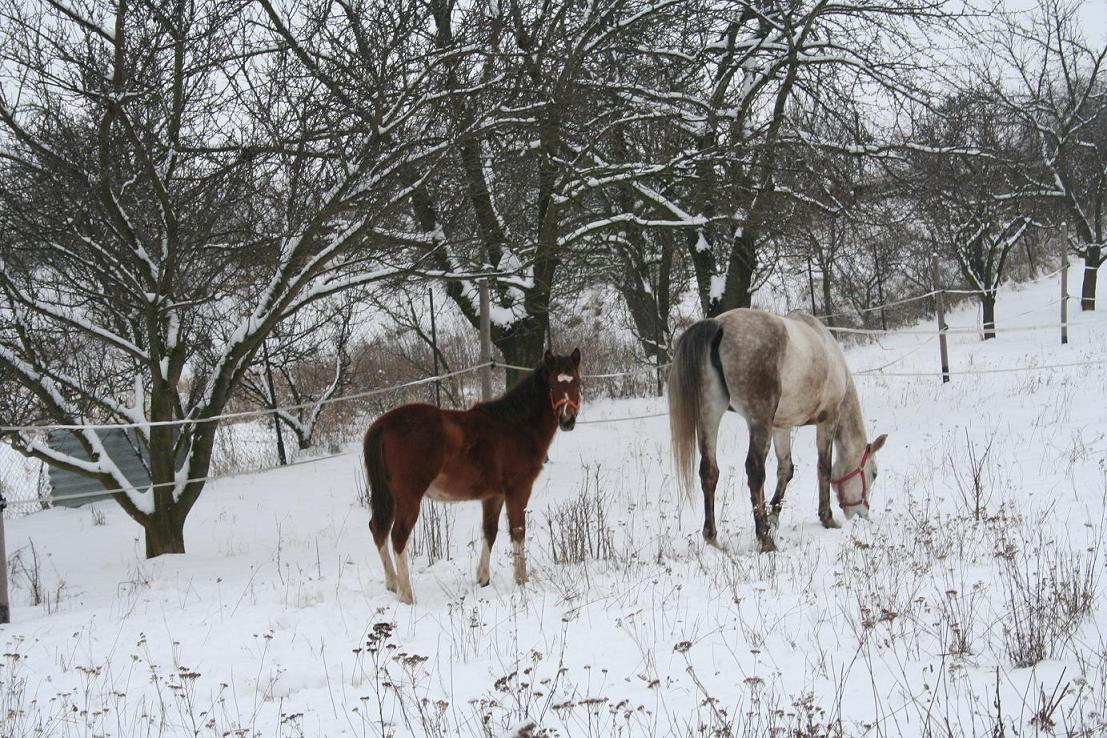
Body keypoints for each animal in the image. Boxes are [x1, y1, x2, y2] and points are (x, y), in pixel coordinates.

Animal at [365, 349, 588, 601]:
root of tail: (383, 424)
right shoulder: (518, 489)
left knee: (379, 529)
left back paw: (392, 584)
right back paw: (406, 595)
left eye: (577, 382)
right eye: (552, 385)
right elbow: (518, 530)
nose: (567, 420)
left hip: (391, 497)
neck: (516, 426)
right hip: (408, 498)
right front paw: (521, 579)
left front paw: (483, 578)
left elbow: (489, 531)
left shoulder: (493, 496)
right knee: (398, 537)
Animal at [664, 305, 890, 553]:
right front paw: (827, 517)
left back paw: (713, 538)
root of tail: (718, 325)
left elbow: (786, 469)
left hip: (710, 413)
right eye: (874, 473)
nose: (862, 514)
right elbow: (824, 468)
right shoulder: (828, 419)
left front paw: (773, 516)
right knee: (755, 471)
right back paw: (765, 540)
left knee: (709, 472)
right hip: (758, 418)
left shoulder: (781, 426)